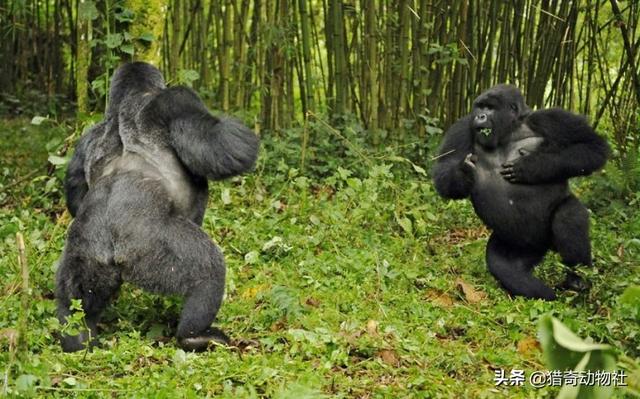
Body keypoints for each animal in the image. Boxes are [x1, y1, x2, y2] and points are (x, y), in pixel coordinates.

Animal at [55, 61, 260, 352]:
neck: (128, 101)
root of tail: (112, 249)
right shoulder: (177, 99)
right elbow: (224, 144)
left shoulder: (87, 137)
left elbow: (75, 187)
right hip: (152, 250)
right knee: (209, 271)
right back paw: (194, 335)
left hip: (84, 255)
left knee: (71, 295)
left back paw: (76, 339)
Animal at [432, 86, 608, 302]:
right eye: (480, 107)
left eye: (490, 108)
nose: (480, 116)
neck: (508, 131)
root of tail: (546, 246)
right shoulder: (463, 126)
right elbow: (444, 170)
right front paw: (464, 172)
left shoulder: (550, 118)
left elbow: (592, 146)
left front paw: (532, 166)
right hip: (522, 244)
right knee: (504, 266)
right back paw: (546, 295)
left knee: (568, 215)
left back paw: (577, 279)